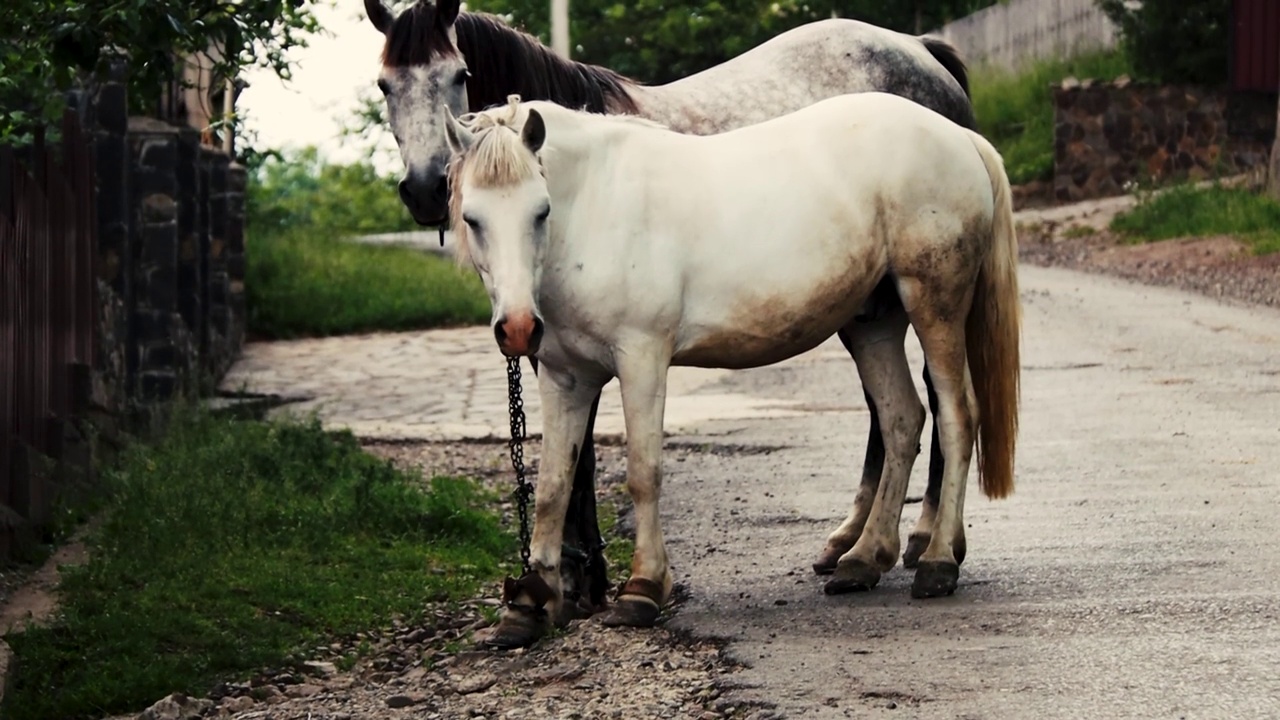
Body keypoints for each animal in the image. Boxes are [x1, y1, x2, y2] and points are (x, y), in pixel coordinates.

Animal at [445, 95, 1024, 645]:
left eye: (541, 211)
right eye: (473, 219)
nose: (518, 328)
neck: (593, 206)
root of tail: (959, 136)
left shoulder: (642, 359)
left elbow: (643, 474)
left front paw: (642, 590)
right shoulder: (566, 378)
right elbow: (552, 488)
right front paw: (530, 604)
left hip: (934, 306)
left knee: (956, 417)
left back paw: (938, 562)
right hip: (872, 325)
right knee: (902, 419)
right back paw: (863, 560)